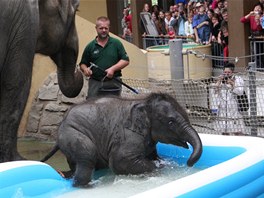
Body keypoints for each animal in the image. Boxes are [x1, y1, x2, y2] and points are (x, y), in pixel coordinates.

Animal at [41, 93, 203, 187]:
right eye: (170, 122)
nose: (189, 163)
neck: (144, 101)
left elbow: (153, 156)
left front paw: (162, 163)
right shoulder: (128, 136)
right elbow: (119, 161)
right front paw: (158, 169)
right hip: (73, 133)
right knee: (87, 156)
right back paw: (87, 186)